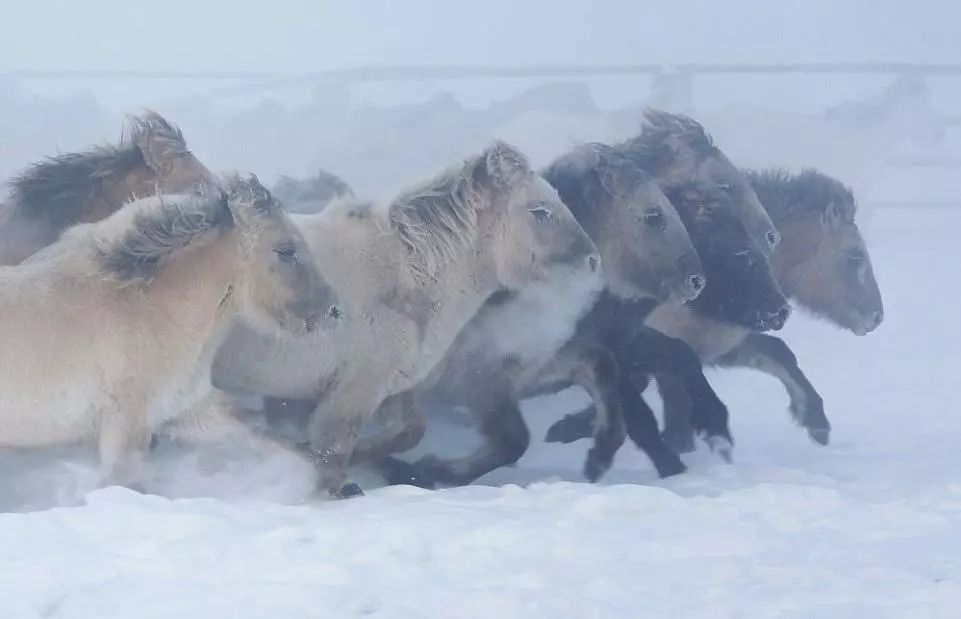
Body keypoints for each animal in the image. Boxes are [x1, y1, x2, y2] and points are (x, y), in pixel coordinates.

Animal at [0, 177, 338, 492]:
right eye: (286, 250)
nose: (334, 311)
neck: (152, 308)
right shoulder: (127, 423)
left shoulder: (187, 411)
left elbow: (278, 444)